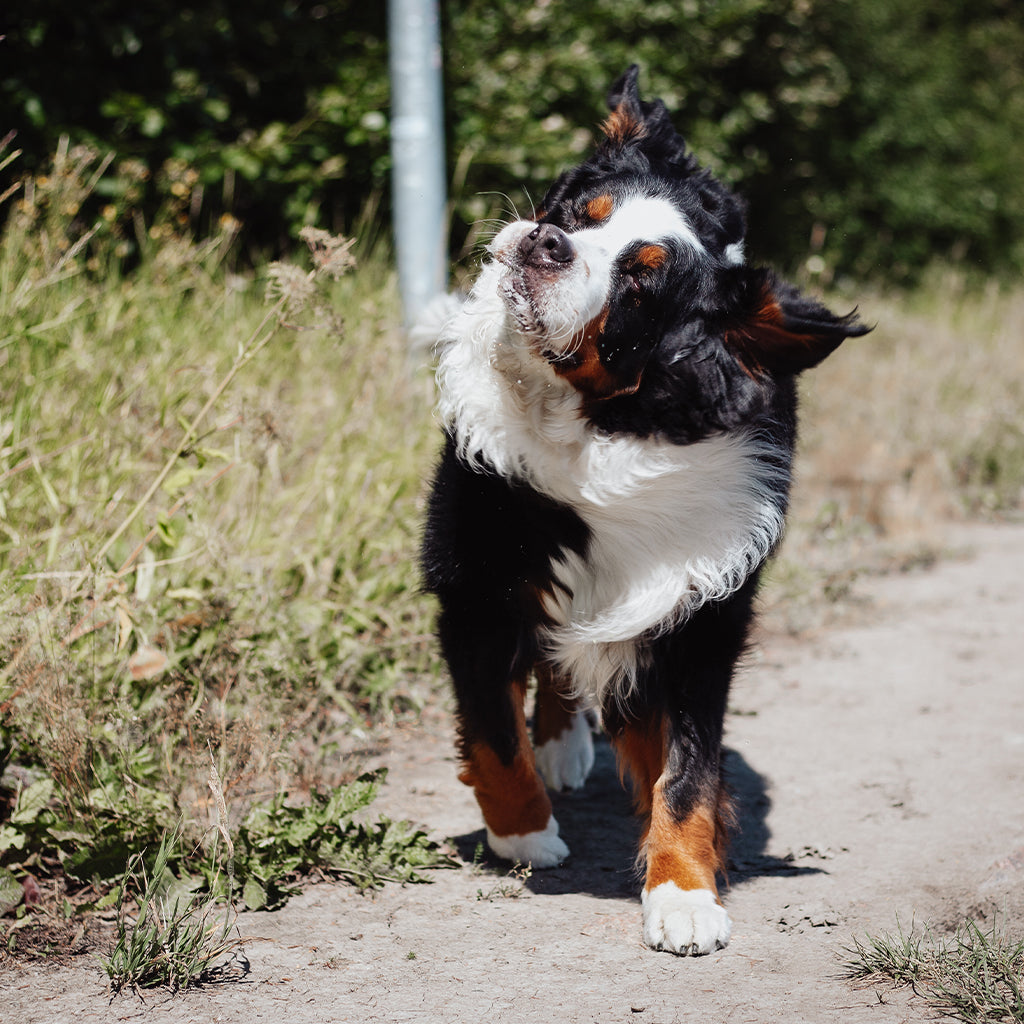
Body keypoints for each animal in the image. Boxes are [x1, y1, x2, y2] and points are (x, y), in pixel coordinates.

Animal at [419, 68, 868, 954]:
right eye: (575, 212)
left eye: (642, 279)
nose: (544, 243)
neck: (595, 427)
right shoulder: (475, 576)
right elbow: (492, 728)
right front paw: (523, 832)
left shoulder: (703, 603)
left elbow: (687, 770)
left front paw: (684, 892)